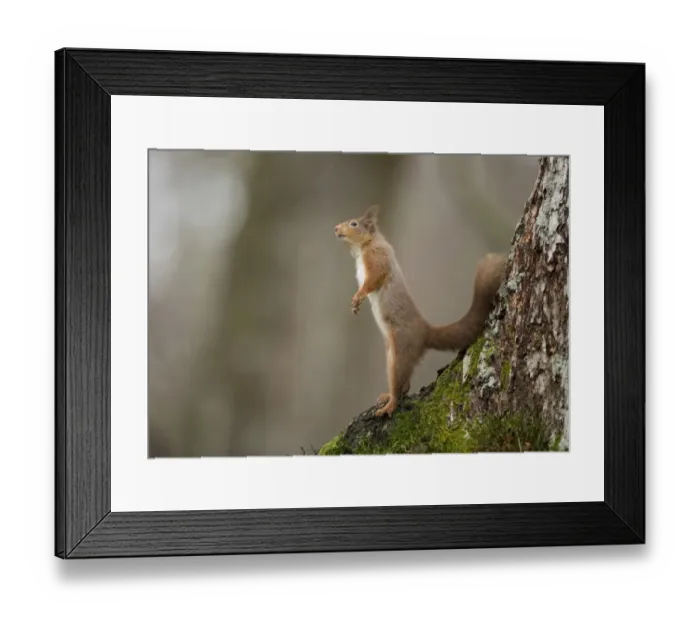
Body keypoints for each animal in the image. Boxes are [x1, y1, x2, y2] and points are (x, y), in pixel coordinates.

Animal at [334, 204, 507, 417]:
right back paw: (387, 396)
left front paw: (358, 297)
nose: (336, 228)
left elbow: (374, 279)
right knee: (405, 383)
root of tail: (425, 332)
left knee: (400, 382)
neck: (363, 248)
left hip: (401, 349)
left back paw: (389, 404)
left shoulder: (377, 258)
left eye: (354, 224)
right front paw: (354, 303)